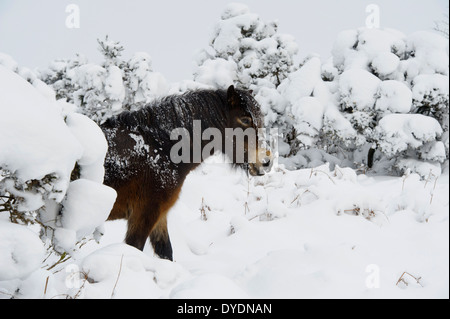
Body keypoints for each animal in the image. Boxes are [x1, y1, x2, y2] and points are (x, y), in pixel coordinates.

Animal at [101, 86, 270, 262]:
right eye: (245, 120)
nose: (266, 161)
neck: (160, 147)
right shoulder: (144, 214)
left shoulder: (160, 215)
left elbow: (166, 253)